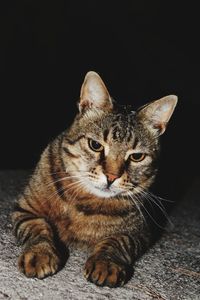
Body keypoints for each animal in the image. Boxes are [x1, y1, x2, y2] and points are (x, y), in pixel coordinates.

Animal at [11, 71, 177, 288]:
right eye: (95, 145)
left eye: (136, 157)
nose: (112, 177)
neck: (83, 200)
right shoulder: (25, 210)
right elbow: (38, 229)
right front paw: (40, 254)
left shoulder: (138, 232)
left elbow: (116, 242)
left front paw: (105, 263)